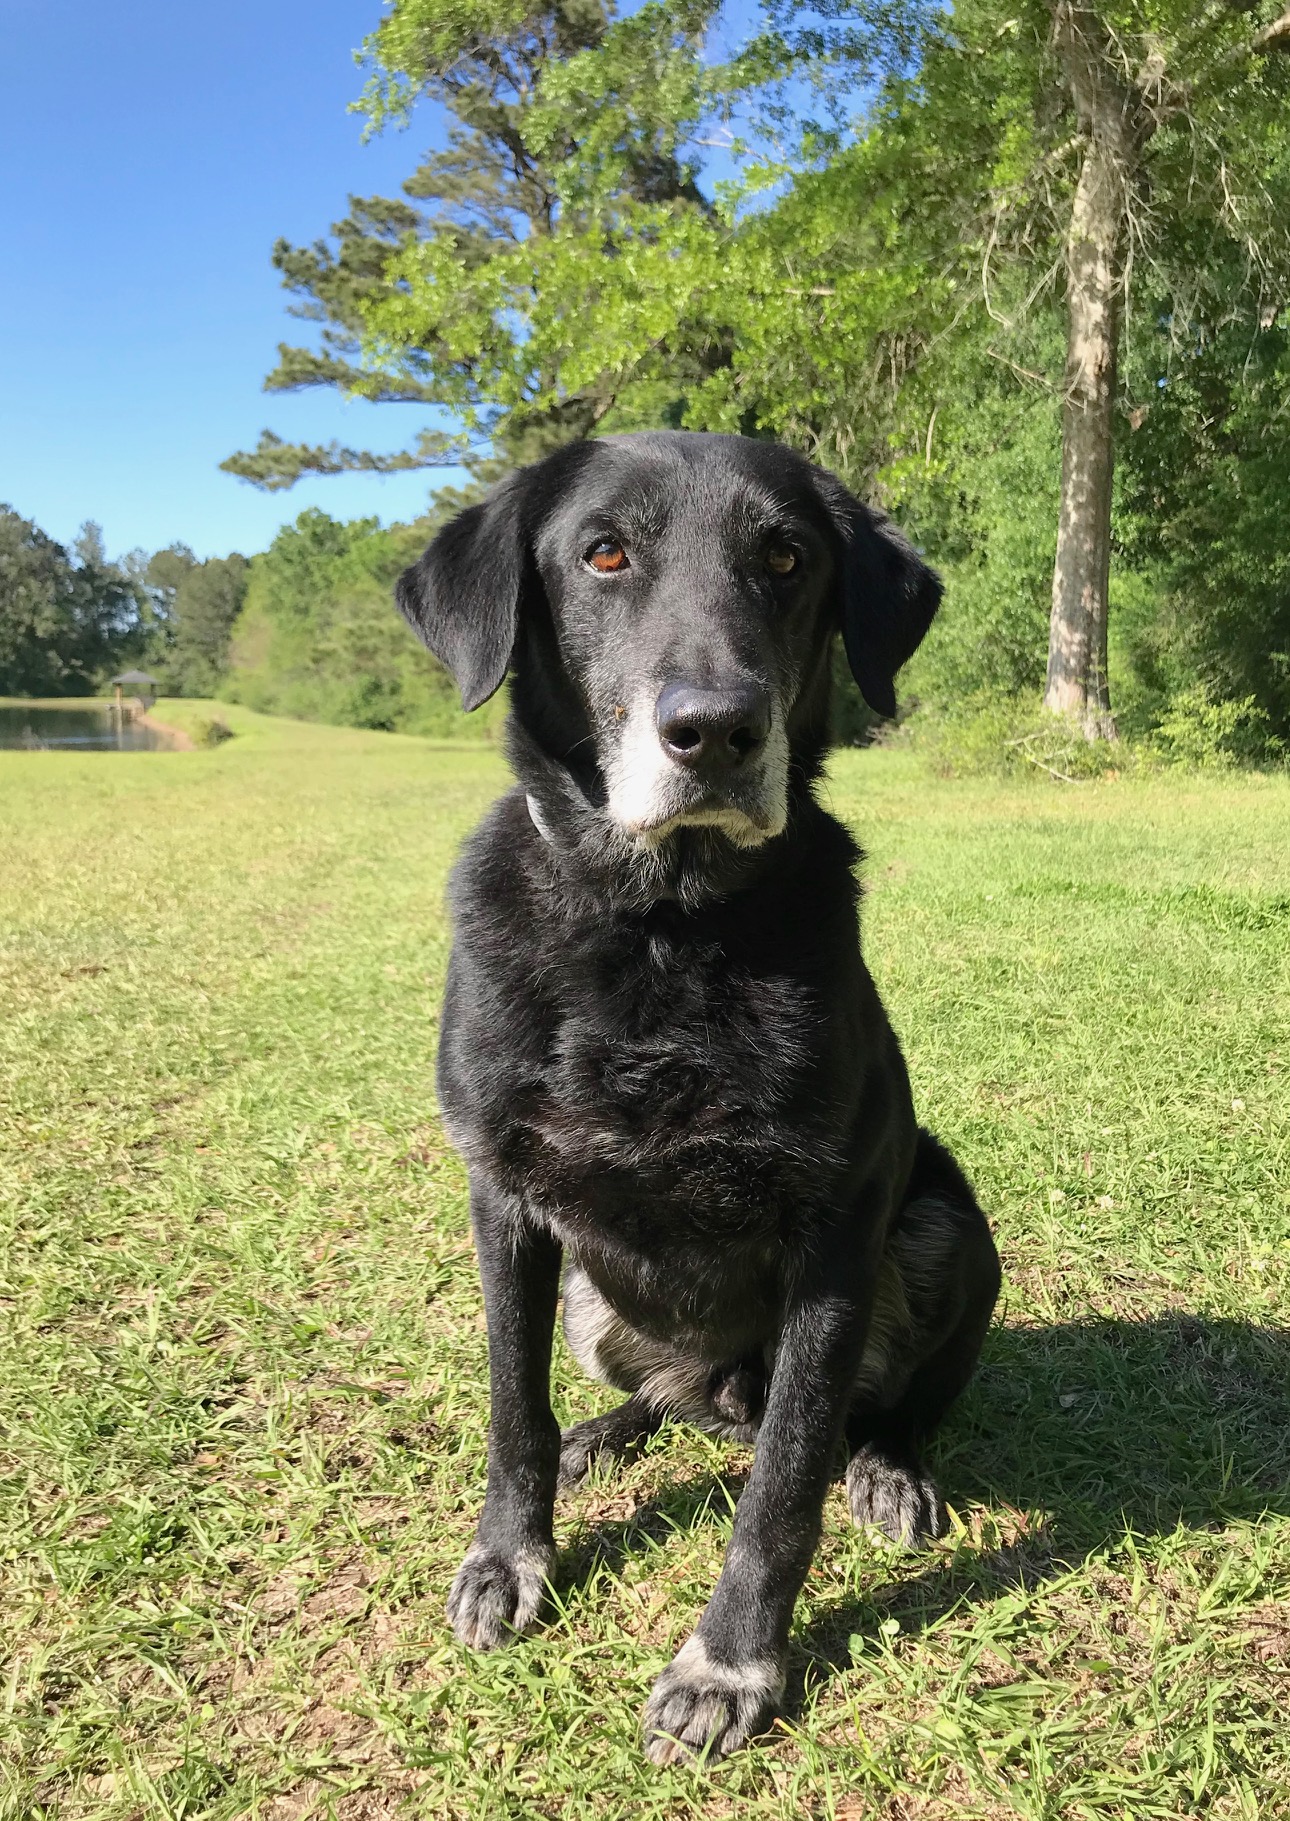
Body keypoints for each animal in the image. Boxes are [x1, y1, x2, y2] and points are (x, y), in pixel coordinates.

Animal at [397, 429, 1005, 1762]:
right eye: (601, 554)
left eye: (786, 558)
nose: (716, 731)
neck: (660, 930)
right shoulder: (504, 1200)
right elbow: (510, 1407)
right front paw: (510, 1556)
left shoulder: (834, 1234)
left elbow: (781, 1486)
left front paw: (729, 1666)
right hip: (591, 1296)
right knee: (653, 1402)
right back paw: (606, 1436)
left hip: (950, 1228)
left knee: (866, 1411)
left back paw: (886, 1467)